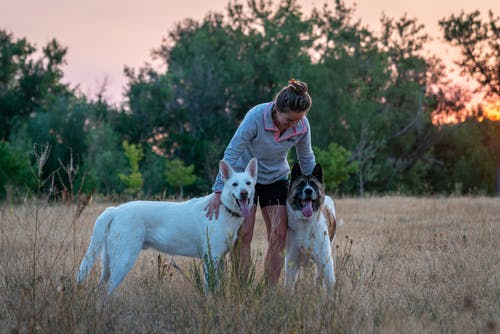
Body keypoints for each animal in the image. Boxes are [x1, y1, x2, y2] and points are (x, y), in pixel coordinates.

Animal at [79, 158, 258, 294]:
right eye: (234, 184)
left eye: (248, 183)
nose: (244, 193)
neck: (225, 209)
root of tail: (115, 210)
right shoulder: (211, 259)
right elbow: (210, 289)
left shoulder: (219, 259)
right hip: (124, 260)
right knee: (106, 291)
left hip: (109, 263)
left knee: (99, 290)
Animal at [286, 162, 336, 290]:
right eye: (301, 185)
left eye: (313, 185)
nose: (308, 190)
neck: (305, 222)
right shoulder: (291, 259)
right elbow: (288, 285)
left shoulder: (325, 261)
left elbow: (330, 286)